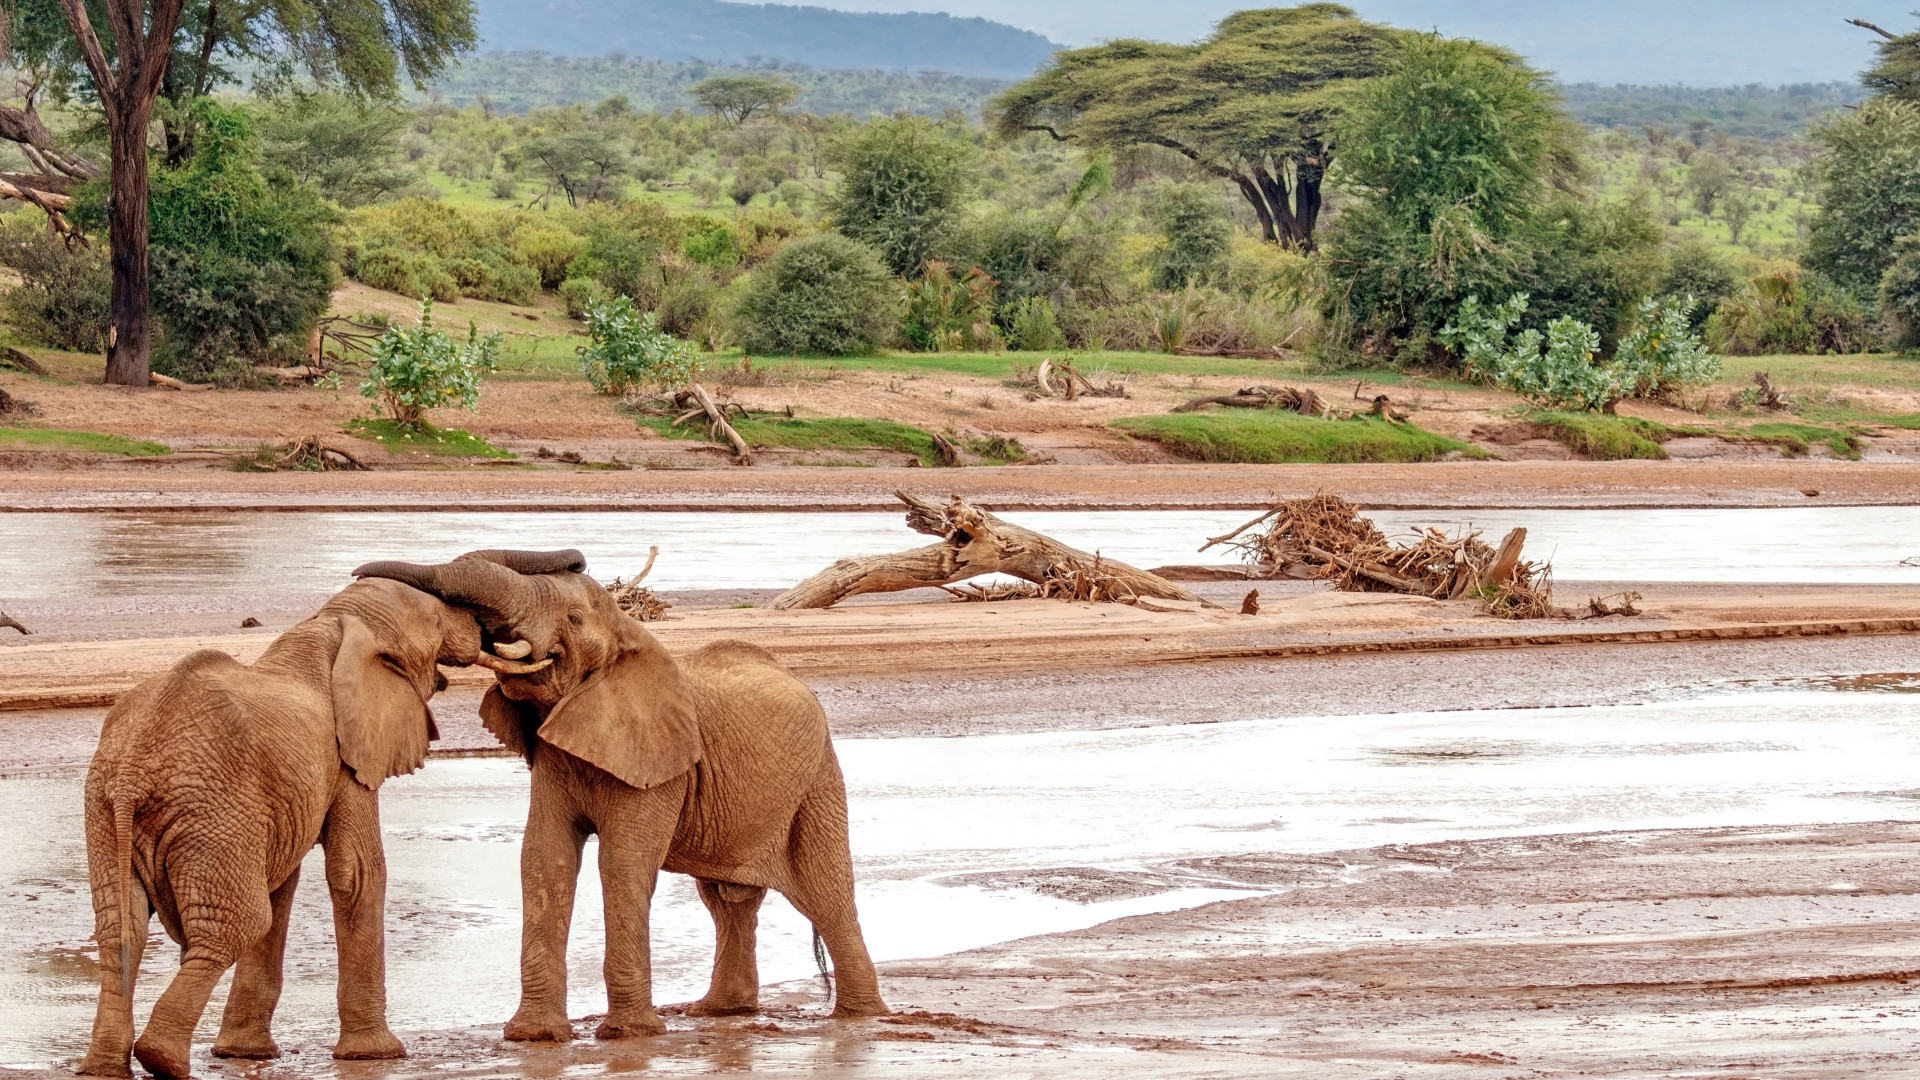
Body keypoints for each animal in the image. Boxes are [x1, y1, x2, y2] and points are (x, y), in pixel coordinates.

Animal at [76, 568, 495, 1068]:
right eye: (434, 621)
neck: (333, 619)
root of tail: (132, 774)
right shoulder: (344, 756)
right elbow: (356, 872)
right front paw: (379, 1056)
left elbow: (286, 883)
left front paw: (245, 1054)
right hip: (213, 811)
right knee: (235, 925)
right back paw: (162, 1060)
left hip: (109, 812)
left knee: (122, 927)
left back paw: (105, 1066)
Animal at [357, 545, 887, 1037]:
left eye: (573, 619)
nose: (358, 574)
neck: (628, 637)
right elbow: (545, 858)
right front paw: (534, 1037)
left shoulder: (659, 760)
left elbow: (623, 861)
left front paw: (628, 1034)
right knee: (726, 903)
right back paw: (719, 1012)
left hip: (818, 779)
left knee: (825, 891)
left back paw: (860, 1017)